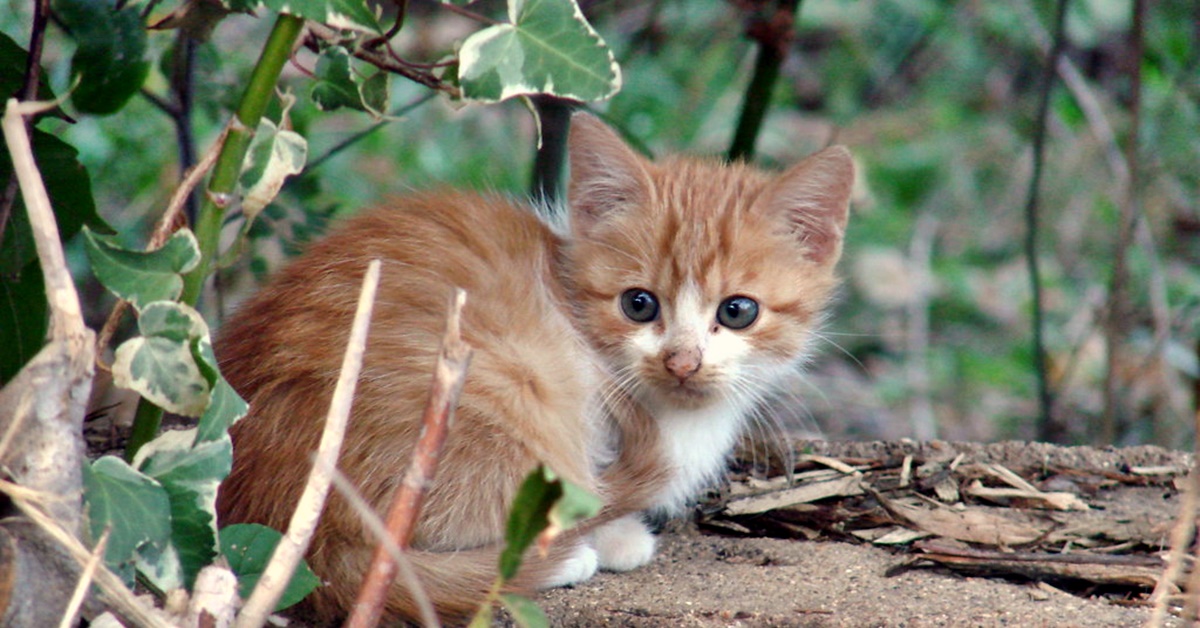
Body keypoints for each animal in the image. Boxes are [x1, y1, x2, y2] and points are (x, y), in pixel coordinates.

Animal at [216, 114, 854, 624]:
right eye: (638, 304)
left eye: (738, 311)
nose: (682, 360)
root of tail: (303, 531)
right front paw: (617, 535)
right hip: (509, 394)